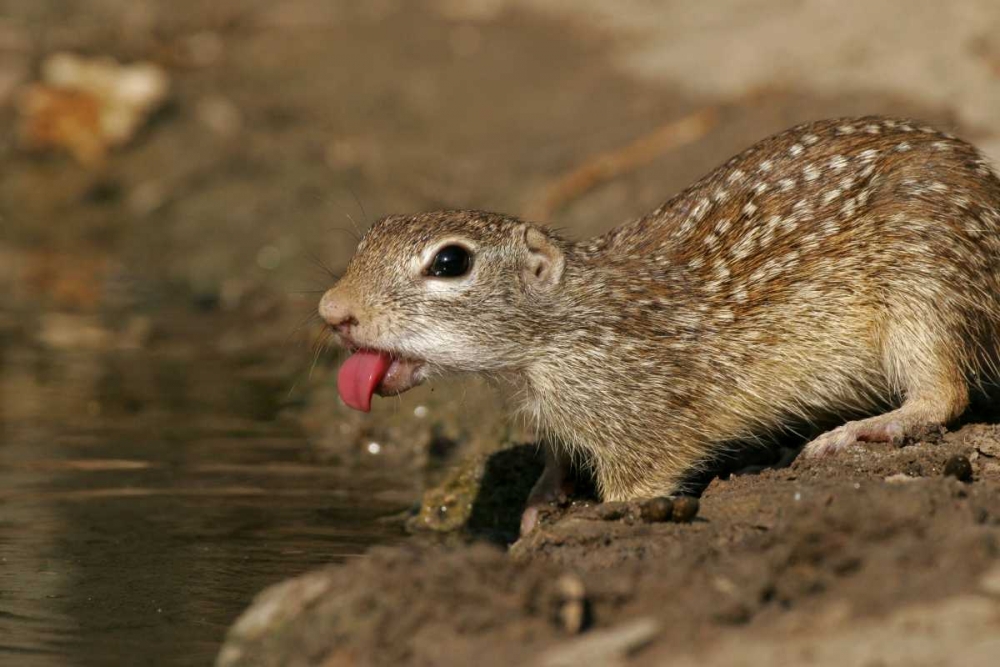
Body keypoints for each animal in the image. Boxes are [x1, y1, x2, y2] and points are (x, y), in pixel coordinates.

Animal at [319, 116, 1000, 533]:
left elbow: (637, 483)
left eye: (450, 263)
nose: (332, 311)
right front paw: (540, 501)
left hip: (925, 293)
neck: (553, 337)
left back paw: (862, 430)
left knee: (943, 393)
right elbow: (559, 456)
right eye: (371, 236)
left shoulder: (640, 416)